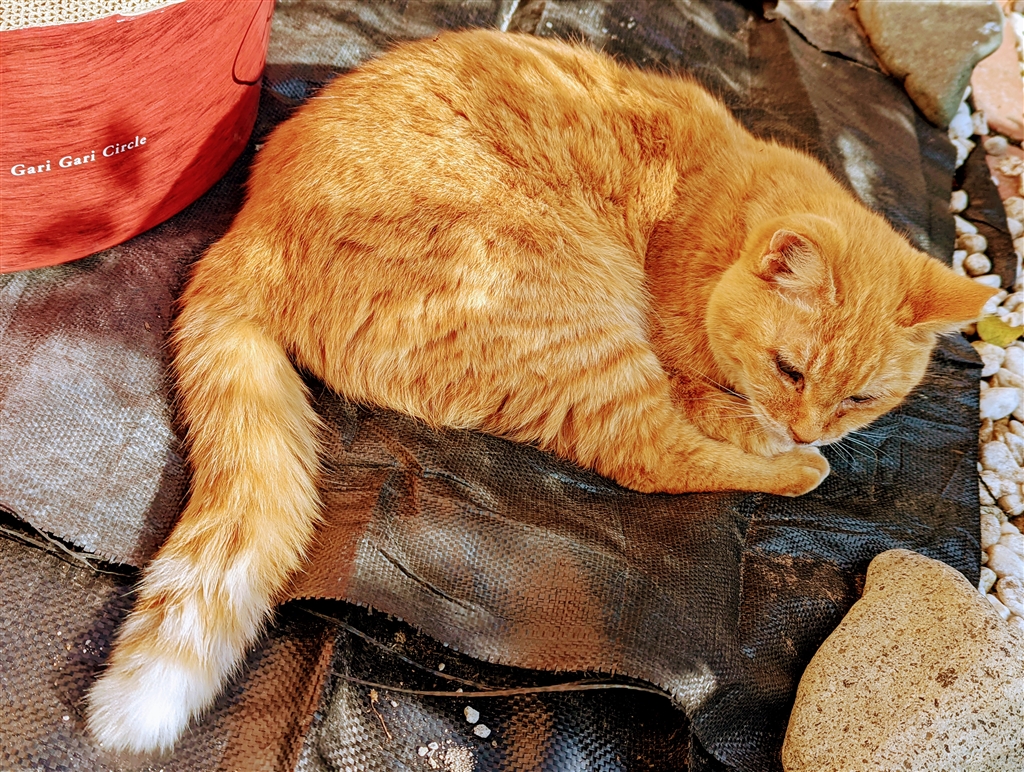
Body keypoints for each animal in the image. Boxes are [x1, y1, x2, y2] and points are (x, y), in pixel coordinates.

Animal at [86, 29, 997, 753]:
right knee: (649, 456)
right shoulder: (682, 367)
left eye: (860, 398)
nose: (810, 428)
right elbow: (719, 415)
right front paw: (782, 443)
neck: (715, 217)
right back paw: (798, 474)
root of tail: (249, 231)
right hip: (574, 314)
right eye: (791, 370)